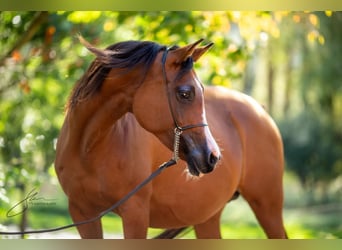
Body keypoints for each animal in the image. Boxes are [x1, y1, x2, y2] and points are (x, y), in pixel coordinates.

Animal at [54, 37, 288, 238]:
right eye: (185, 93)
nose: (213, 156)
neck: (88, 148)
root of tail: (259, 108)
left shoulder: (135, 213)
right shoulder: (83, 213)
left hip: (267, 207)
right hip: (208, 218)